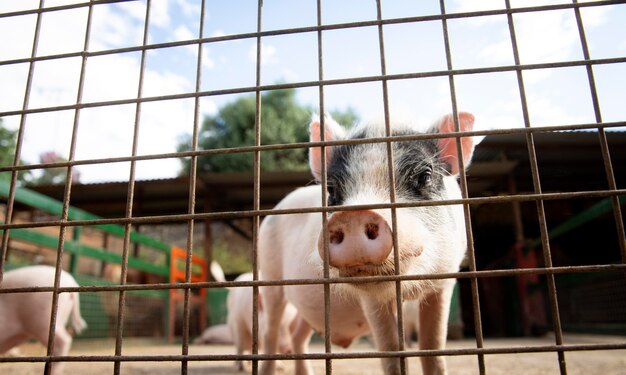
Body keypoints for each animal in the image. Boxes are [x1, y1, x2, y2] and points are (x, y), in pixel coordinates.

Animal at [258, 112, 472, 375]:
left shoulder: (444, 282)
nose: (354, 216)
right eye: (331, 188)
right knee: (271, 331)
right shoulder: (371, 300)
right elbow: (391, 349)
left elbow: (433, 349)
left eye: (425, 176)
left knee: (298, 334)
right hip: (270, 275)